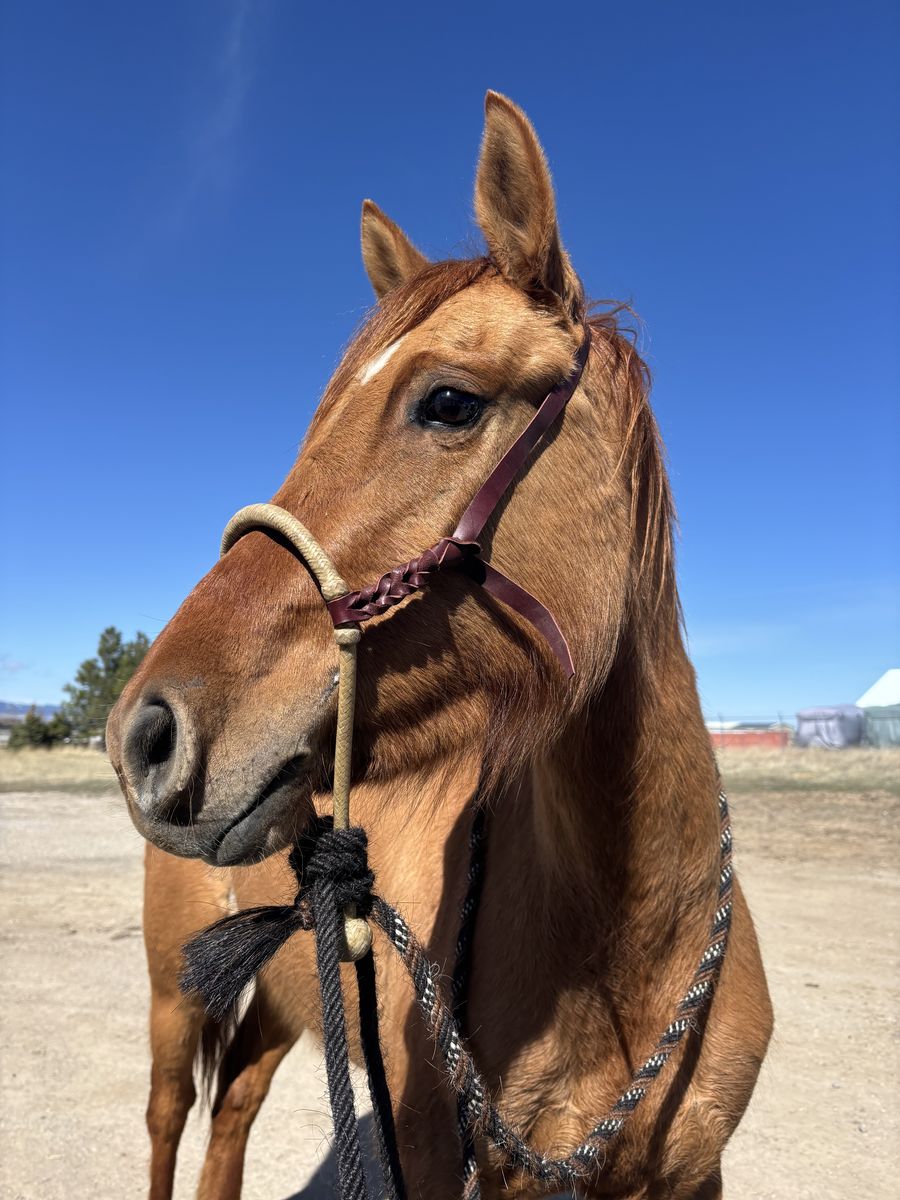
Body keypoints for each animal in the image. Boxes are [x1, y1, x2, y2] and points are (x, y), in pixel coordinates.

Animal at [107, 91, 772, 1200]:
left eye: (448, 402)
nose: (144, 736)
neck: (630, 949)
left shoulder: (692, 1177)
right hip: (174, 994)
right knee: (168, 1119)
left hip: (284, 1006)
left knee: (232, 1111)